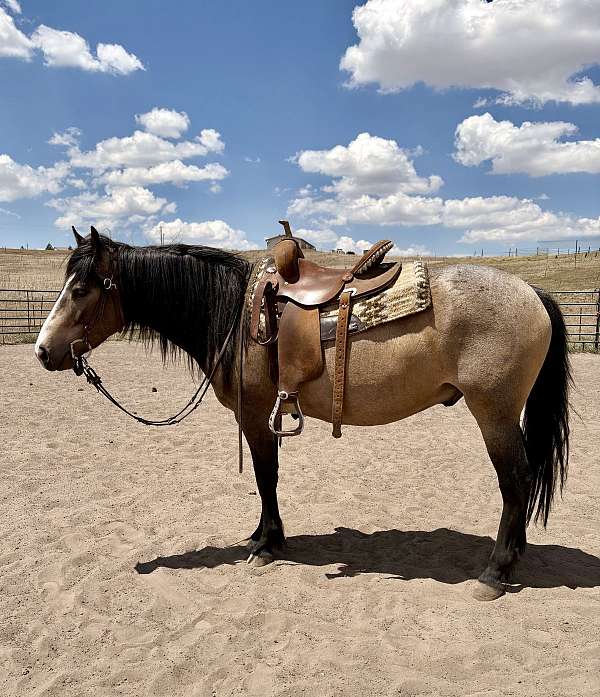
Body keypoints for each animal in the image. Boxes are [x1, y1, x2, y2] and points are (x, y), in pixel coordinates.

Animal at [34, 226, 571, 601]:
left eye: (81, 290)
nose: (43, 350)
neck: (234, 313)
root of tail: (532, 292)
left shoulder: (255, 417)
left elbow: (265, 477)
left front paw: (267, 545)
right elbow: (265, 477)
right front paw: (260, 536)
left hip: (494, 413)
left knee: (516, 481)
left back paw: (495, 572)